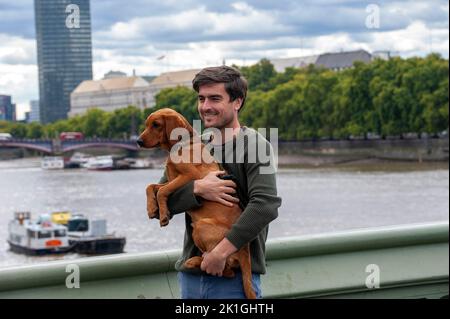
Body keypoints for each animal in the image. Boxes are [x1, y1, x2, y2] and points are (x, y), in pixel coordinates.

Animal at [137, 108, 256, 300]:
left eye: (156, 125)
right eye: (147, 124)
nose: (138, 142)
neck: (182, 145)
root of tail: (245, 250)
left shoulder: (189, 177)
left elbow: (162, 191)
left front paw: (163, 216)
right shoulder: (172, 179)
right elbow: (151, 187)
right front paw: (152, 208)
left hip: (201, 227)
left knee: (225, 268)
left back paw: (194, 261)